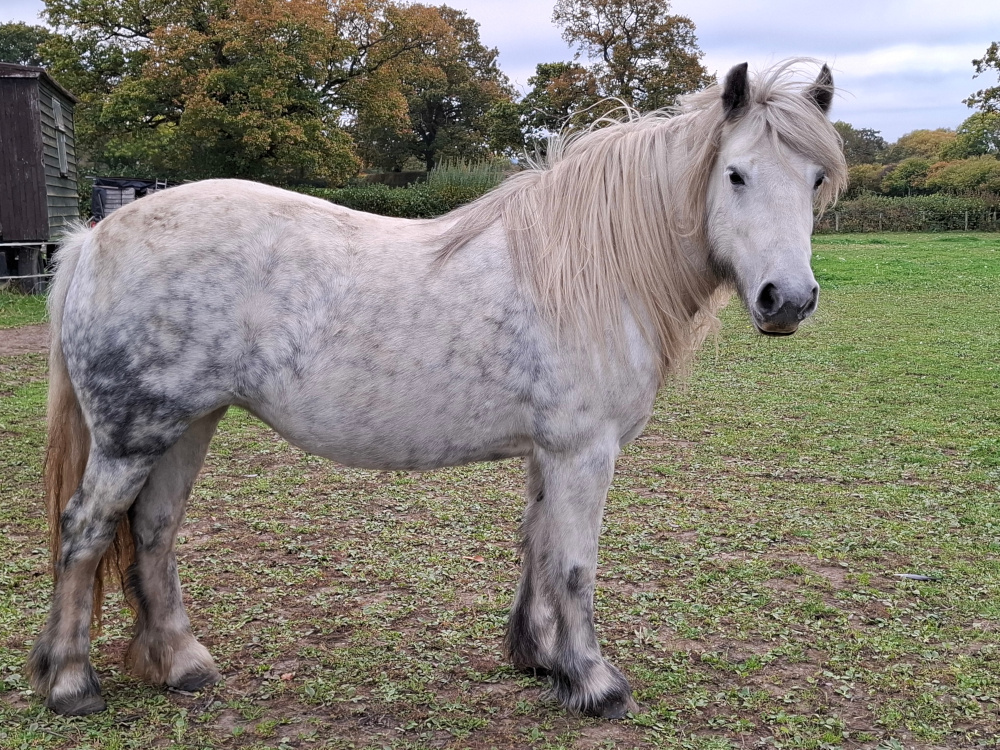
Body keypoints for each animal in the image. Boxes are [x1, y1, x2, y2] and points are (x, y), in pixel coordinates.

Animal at [27, 60, 847, 719]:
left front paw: (540, 659)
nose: (788, 300)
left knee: (155, 532)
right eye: (735, 174)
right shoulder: (583, 452)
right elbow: (575, 564)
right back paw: (70, 683)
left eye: (814, 180)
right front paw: (595, 683)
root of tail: (94, 237)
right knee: (84, 532)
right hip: (132, 437)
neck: (591, 268)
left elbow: (537, 547)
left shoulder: (549, 454)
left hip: (186, 426)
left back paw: (181, 665)